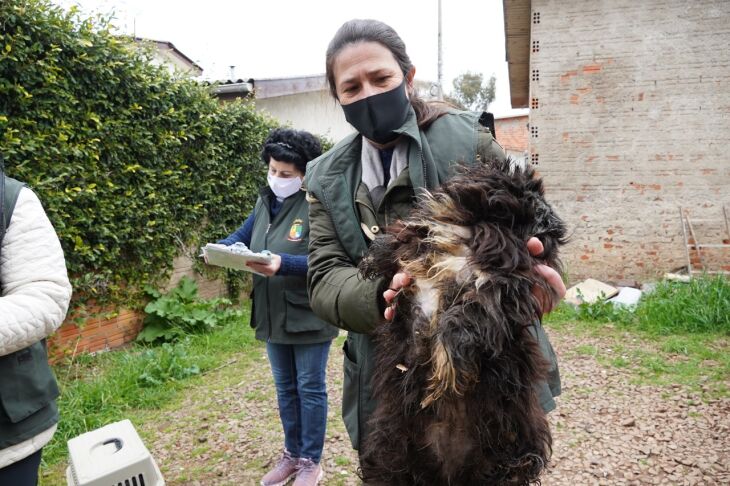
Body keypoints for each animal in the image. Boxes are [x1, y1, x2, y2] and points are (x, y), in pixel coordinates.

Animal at [358, 158, 568, 484]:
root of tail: (449, 474)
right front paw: (372, 257)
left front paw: (447, 363)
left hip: (512, 438)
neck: (472, 231)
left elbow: (466, 319)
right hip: (389, 442)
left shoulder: (500, 288)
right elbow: (398, 241)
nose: (555, 227)